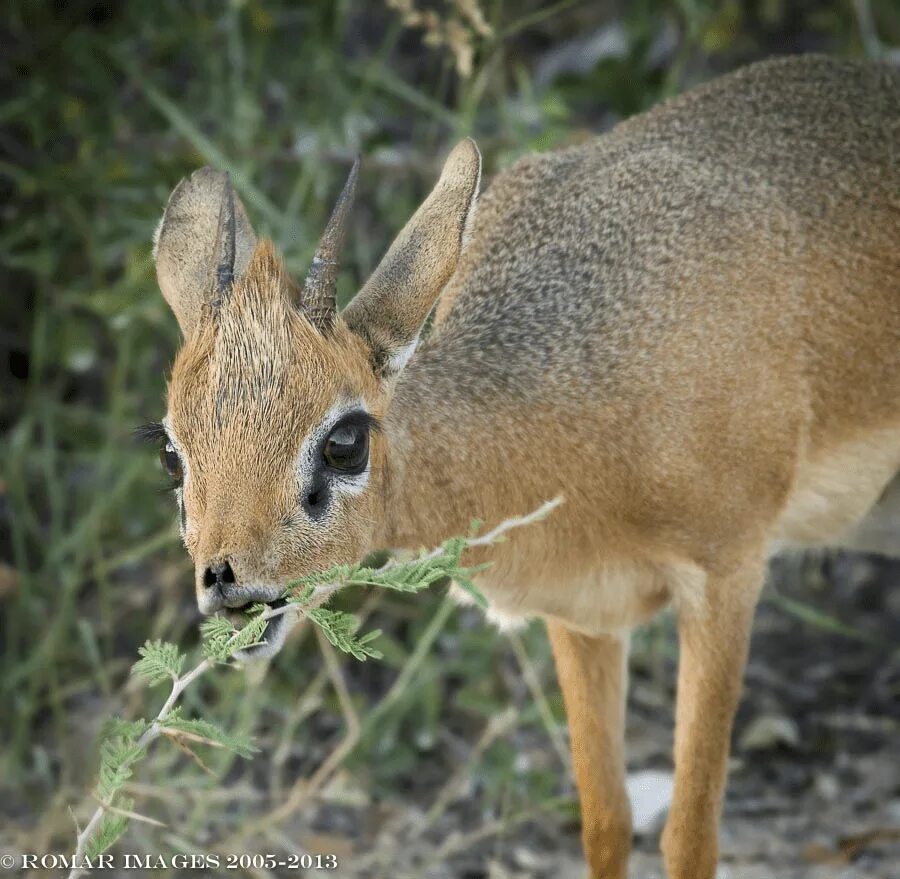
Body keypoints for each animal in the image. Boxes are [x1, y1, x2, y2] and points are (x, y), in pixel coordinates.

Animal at [148, 56, 900, 879]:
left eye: (345, 440)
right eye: (173, 452)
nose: (229, 582)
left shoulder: (727, 576)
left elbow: (690, 836)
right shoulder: (583, 612)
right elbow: (605, 822)